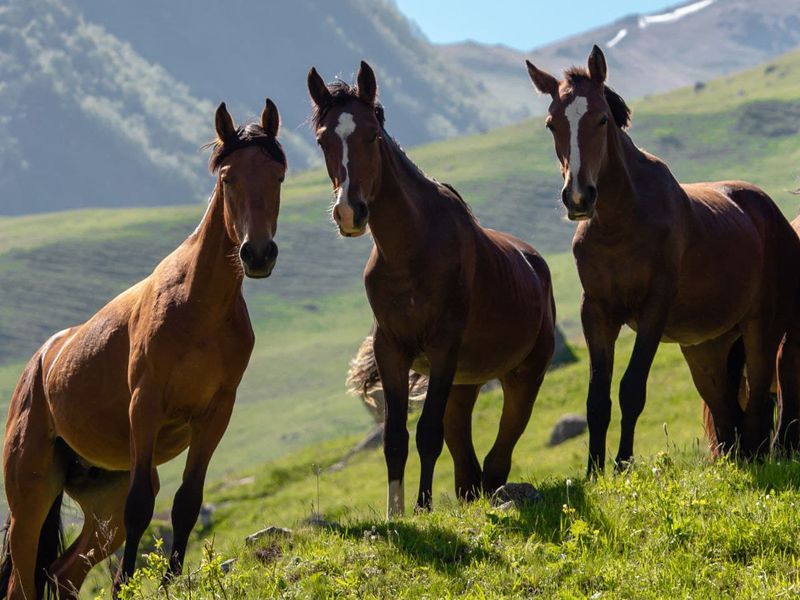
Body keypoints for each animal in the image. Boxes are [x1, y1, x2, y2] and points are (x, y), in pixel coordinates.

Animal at [0, 97, 288, 596]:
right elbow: (142, 506)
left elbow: (186, 502)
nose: (257, 253)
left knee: (62, 575)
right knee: (24, 582)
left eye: (278, 175)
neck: (196, 307)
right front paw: (125, 586)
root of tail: (38, 366)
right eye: (227, 177)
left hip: (101, 510)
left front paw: (168, 582)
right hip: (29, 501)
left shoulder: (215, 415)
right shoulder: (145, 406)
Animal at [308, 63, 556, 516]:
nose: (350, 212)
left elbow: (426, 435)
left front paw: (422, 508)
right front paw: (397, 513)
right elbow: (395, 439)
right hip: (464, 383)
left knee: (498, 453)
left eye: (372, 134)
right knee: (466, 460)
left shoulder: (441, 348)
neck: (412, 249)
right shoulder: (392, 351)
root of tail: (535, 264)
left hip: (522, 376)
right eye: (322, 140)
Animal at [524, 45, 800, 474]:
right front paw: (593, 471)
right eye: (552, 124)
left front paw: (621, 465)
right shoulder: (597, 312)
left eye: (601, 119)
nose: (579, 197)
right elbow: (597, 398)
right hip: (707, 348)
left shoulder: (653, 308)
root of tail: (775, 217)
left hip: (762, 330)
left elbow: (631, 389)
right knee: (726, 414)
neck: (621, 223)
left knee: (759, 402)